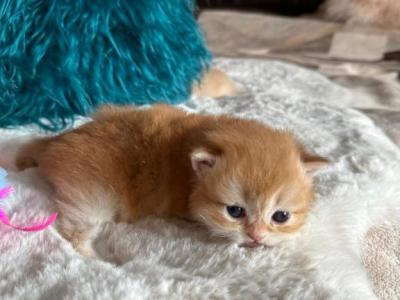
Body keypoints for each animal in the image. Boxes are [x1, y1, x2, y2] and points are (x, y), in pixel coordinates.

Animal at [16, 104, 328, 256]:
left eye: (281, 216)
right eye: (235, 211)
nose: (256, 237)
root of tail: (54, 143)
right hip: (93, 195)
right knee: (74, 232)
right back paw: (98, 260)